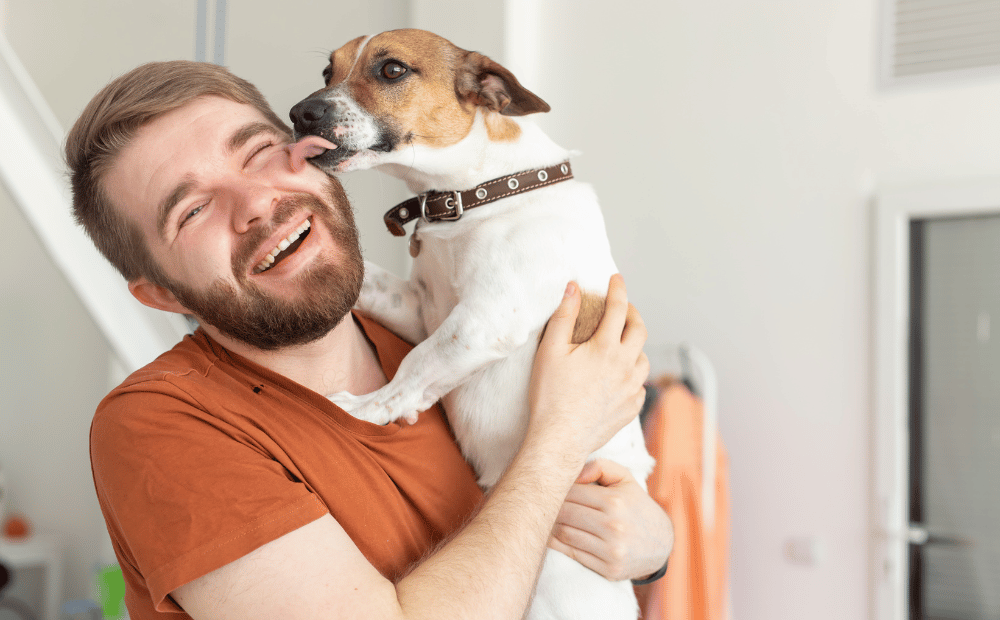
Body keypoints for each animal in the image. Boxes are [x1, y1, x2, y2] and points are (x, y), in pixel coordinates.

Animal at [288, 31, 656, 620]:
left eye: (392, 70)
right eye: (328, 71)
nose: (299, 114)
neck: (479, 191)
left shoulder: (486, 320)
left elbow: (417, 368)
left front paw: (368, 410)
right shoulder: (422, 308)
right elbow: (374, 288)